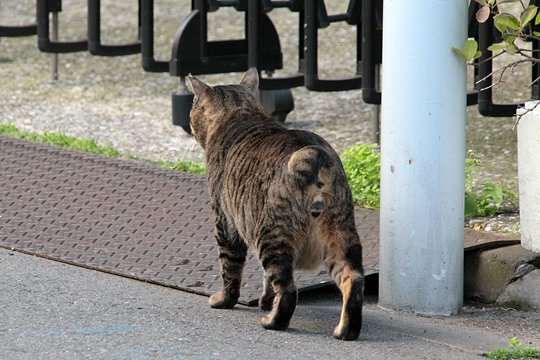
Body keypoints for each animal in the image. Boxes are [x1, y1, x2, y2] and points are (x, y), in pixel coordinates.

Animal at [188, 68, 364, 340]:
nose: (188, 124)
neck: (242, 115)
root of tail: (313, 153)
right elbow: (265, 280)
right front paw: (265, 300)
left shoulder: (225, 222)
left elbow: (230, 268)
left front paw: (224, 300)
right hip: (340, 234)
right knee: (353, 279)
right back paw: (346, 330)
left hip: (271, 235)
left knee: (289, 289)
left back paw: (273, 321)